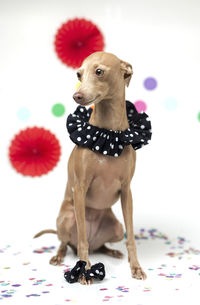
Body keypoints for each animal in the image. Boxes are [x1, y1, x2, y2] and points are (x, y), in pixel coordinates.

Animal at [34, 51, 147, 282]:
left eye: (99, 71)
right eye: (78, 74)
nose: (76, 96)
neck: (109, 133)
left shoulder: (127, 191)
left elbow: (131, 236)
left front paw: (136, 267)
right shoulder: (80, 188)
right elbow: (82, 240)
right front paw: (84, 271)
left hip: (115, 226)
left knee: (99, 245)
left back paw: (110, 250)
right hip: (67, 218)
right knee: (68, 241)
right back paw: (59, 255)